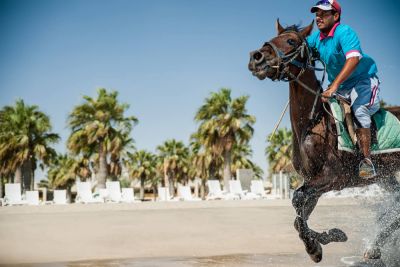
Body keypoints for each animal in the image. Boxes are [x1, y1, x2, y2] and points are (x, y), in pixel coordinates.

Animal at [247, 19, 400, 264]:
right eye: (273, 37)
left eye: (291, 41)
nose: (256, 57)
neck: (312, 123)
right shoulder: (313, 182)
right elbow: (298, 215)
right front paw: (326, 240)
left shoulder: (331, 177)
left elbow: (297, 199)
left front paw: (317, 245)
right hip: (386, 176)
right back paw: (374, 248)